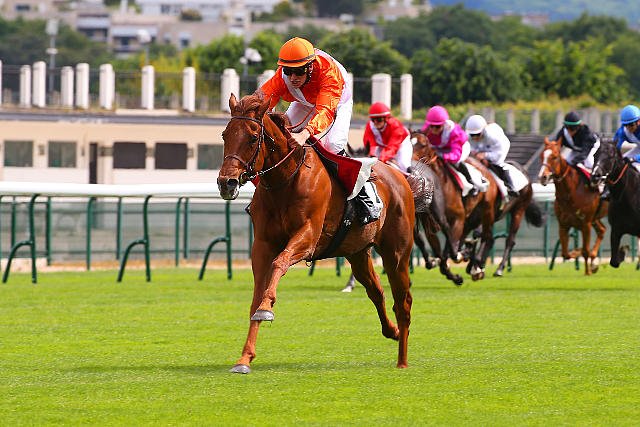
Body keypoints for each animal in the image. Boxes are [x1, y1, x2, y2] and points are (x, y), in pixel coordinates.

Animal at [217, 93, 416, 372]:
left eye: (253, 137)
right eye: (225, 134)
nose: (226, 182)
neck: (285, 179)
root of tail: (401, 179)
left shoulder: (308, 237)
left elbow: (279, 264)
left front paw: (267, 308)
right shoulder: (262, 245)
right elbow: (257, 295)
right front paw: (244, 358)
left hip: (397, 253)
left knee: (403, 301)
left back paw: (402, 360)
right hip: (357, 253)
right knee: (376, 291)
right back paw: (393, 331)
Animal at [538, 137, 607, 275]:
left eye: (554, 157)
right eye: (542, 156)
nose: (543, 177)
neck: (571, 192)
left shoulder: (586, 224)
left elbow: (585, 250)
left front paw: (587, 272)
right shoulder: (563, 224)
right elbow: (565, 253)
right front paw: (578, 253)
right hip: (595, 218)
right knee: (602, 230)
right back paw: (594, 262)